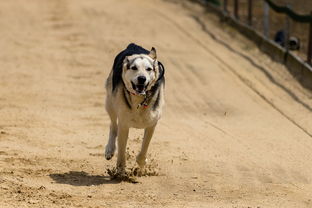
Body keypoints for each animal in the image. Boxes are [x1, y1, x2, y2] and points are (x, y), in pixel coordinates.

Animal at [103, 43, 165, 173]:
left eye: (149, 69)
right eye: (134, 68)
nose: (142, 78)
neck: (140, 99)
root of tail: (133, 45)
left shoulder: (152, 125)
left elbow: (145, 146)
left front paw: (141, 163)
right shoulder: (124, 125)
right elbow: (121, 151)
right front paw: (120, 172)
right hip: (109, 103)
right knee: (113, 125)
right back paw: (110, 150)